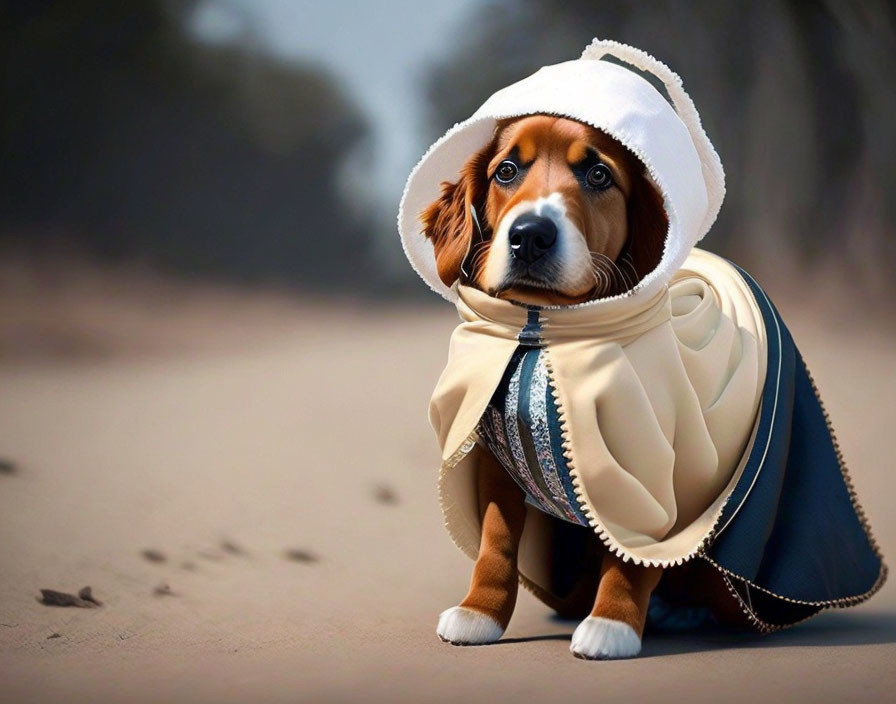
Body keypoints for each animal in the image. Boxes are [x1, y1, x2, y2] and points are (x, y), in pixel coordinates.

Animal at [420, 113, 728, 656]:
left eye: (598, 175)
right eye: (506, 171)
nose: (529, 235)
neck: (544, 337)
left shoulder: (647, 467)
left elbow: (633, 550)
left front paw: (613, 625)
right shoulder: (497, 462)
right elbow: (496, 542)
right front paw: (479, 612)